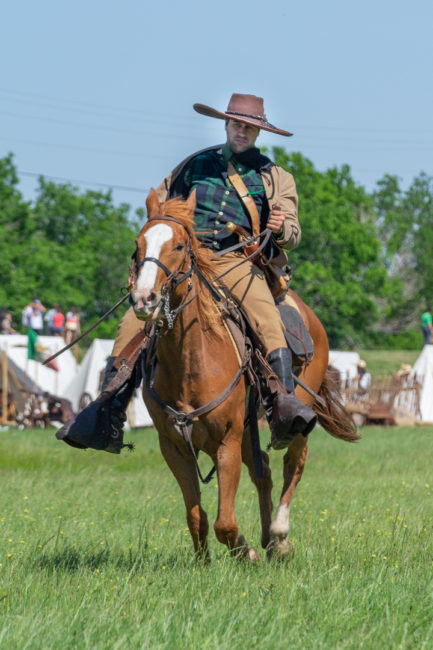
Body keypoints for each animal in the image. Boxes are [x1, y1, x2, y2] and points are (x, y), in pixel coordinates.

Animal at [130, 186, 360, 556]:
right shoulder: (174, 446)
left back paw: (279, 536)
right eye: (138, 245)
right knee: (263, 469)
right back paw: (267, 540)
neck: (190, 360)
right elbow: (197, 517)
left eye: (179, 245)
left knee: (293, 463)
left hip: (297, 417)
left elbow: (225, 522)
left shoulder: (228, 439)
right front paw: (212, 558)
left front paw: (245, 552)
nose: (143, 299)